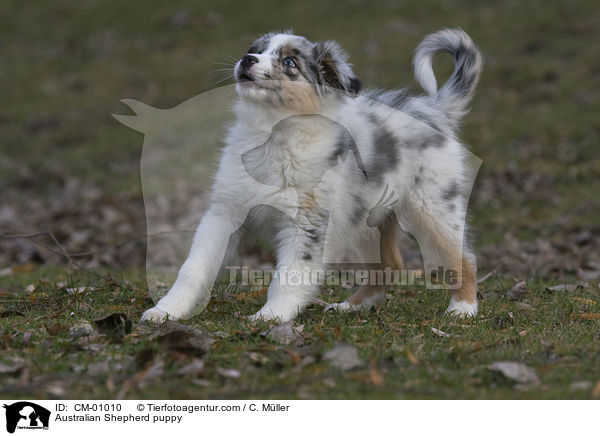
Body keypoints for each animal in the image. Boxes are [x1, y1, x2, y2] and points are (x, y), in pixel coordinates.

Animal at [143, 29, 486, 322]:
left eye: (289, 62)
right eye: (257, 50)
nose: (246, 59)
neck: (273, 134)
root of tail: (435, 108)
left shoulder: (307, 223)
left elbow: (290, 274)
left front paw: (271, 316)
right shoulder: (225, 212)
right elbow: (194, 267)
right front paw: (167, 310)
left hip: (433, 207)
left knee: (464, 257)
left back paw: (463, 308)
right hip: (364, 219)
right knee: (389, 264)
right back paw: (351, 306)